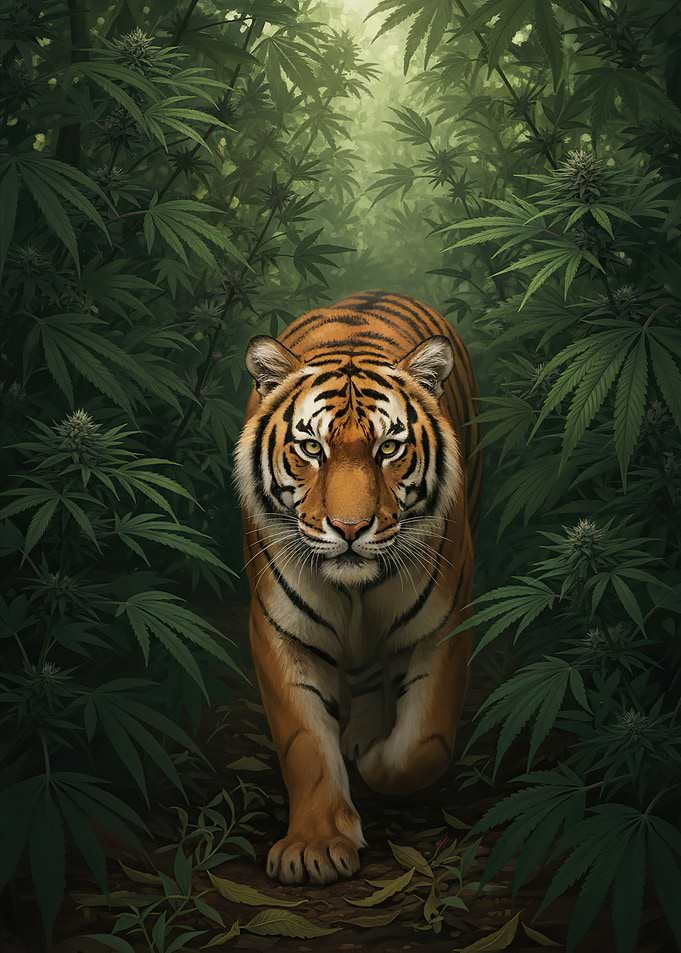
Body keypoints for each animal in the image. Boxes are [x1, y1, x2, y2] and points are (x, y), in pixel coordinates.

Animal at [234, 290, 481, 886]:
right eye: (310, 448)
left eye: (389, 449)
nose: (349, 529)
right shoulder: (279, 629)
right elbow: (304, 741)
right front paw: (316, 846)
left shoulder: (445, 622)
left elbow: (423, 743)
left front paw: (375, 761)